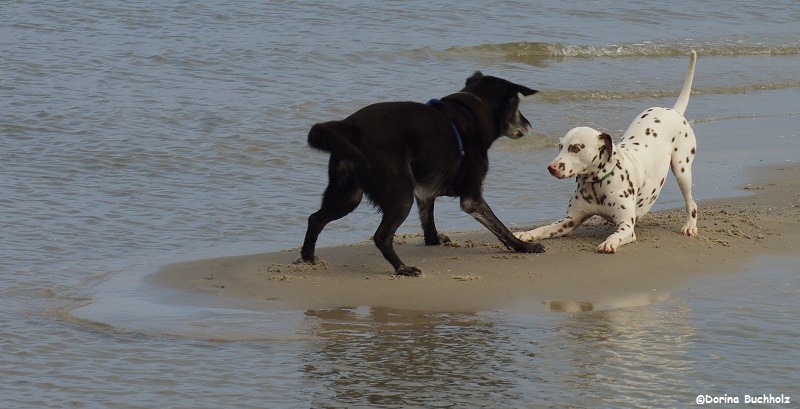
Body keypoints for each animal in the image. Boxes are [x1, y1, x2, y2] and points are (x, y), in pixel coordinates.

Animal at [298, 72, 544, 278]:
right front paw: (523, 246)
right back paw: (402, 268)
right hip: (399, 194)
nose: (529, 125)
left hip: (347, 195)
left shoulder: (425, 193)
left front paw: (434, 241)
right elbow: (499, 227)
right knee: (381, 236)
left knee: (315, 219)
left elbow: (428, 219)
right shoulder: (472, 199)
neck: (475, 110)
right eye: (517, 106)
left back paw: (308, 257)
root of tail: (351, 126)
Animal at [516, 50, 696, 252]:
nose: (551, 167)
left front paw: (609, 242)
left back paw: (690, 225)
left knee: (692, 203)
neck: (597, 183)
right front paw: (527, 234)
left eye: (575, 148)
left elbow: (617, 234)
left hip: (682, 171)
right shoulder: (569, 221)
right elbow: (544, 228)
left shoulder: (626, 227)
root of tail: (674, 111)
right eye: (560, 146)